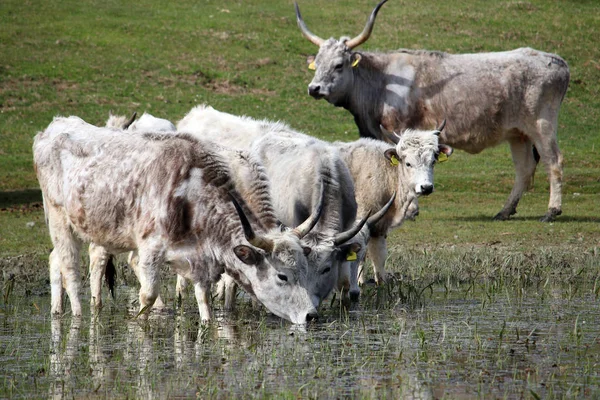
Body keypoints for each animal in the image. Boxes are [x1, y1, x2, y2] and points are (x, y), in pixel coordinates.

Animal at [33, 116, 322, 324]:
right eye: (282, 276)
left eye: (305, 270)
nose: (311, 315)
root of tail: (52, 128)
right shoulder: (150, 250)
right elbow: (148, 296)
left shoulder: (200, 261)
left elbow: (204, 299)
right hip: (59, 219)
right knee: (71, 269)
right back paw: (79, 316)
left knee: (57, 259)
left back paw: (58, 311)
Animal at [298, 0, 568, 222]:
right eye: (317, 64)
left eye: (339, 65)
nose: (314, 88)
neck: (381, 81)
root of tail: (557, 61)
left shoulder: (398, 131)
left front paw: (410, 210)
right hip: (518, 134)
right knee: (524, 169)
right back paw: (505, 210)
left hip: (542, 125)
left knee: (554, 162)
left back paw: (551, 210)